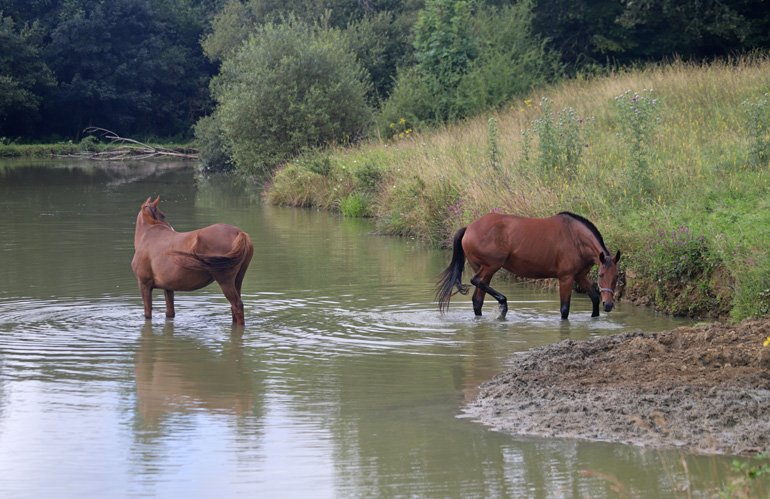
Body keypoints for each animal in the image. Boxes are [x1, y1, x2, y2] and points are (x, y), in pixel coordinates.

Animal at [131, 196, 254, 325]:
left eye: (163, 215)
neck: (149, 235)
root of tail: (238, 232)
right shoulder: (168, 288)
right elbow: (170, 313)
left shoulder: (144, 285)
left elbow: (147, 314)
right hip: (237, 280)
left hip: (225, 281)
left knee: (237, 305)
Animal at [436, 211, 621, 320]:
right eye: (601, 275)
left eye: (616, 277)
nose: (609, 305)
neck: (576, 238)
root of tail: (469, 228)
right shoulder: (566, 278)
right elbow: (564, 309)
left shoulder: (580, 276)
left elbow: (594, 298)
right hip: (491, 266)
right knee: (475, 280)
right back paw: (503, 303)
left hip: (484, 269)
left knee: (477, 300)